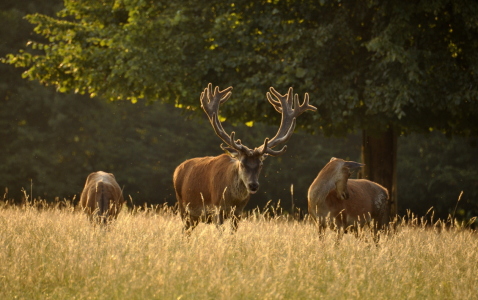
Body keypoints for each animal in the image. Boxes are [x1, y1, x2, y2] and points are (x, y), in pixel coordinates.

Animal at [174, 83, 316, 231]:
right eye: (242, 163)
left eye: (261, 165)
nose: (253, 185)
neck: (233, 200)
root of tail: (177, 169)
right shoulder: (217, 208)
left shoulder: (238, 213)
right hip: (183, 207)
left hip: (194, 217)